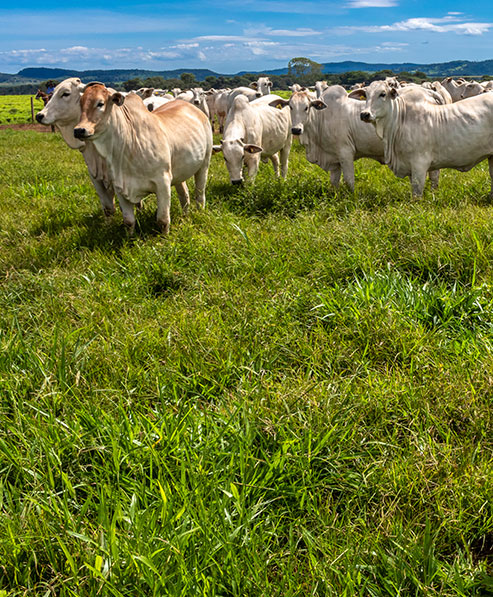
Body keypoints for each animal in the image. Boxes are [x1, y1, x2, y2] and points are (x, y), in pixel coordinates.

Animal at [73, 84, 212, 234]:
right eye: (80, 104)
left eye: (100, 103)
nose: (79, 130)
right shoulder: (119, 186)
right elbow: (129, 221)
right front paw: (129, 238)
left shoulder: (163, 182)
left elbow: (162, 220)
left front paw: (164, 238)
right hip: (178, 172)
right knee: (184, 193)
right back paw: (185, 215)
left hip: (204, 163)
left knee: (200, 193)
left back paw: (199, 211)